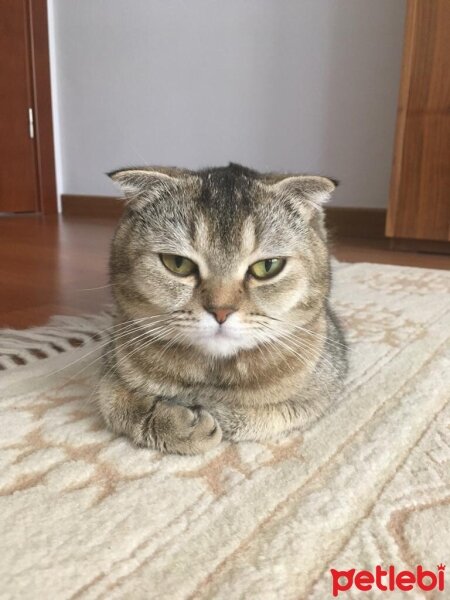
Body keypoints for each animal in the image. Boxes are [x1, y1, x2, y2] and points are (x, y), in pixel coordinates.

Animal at [97, 164, 348, 454]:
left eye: (268, 266)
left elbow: (259, 415)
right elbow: (115, 405)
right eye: (177, 263)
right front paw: (177, 423)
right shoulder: (109, 366)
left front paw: (205, 409)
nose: (221, 312)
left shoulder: (321, 390)